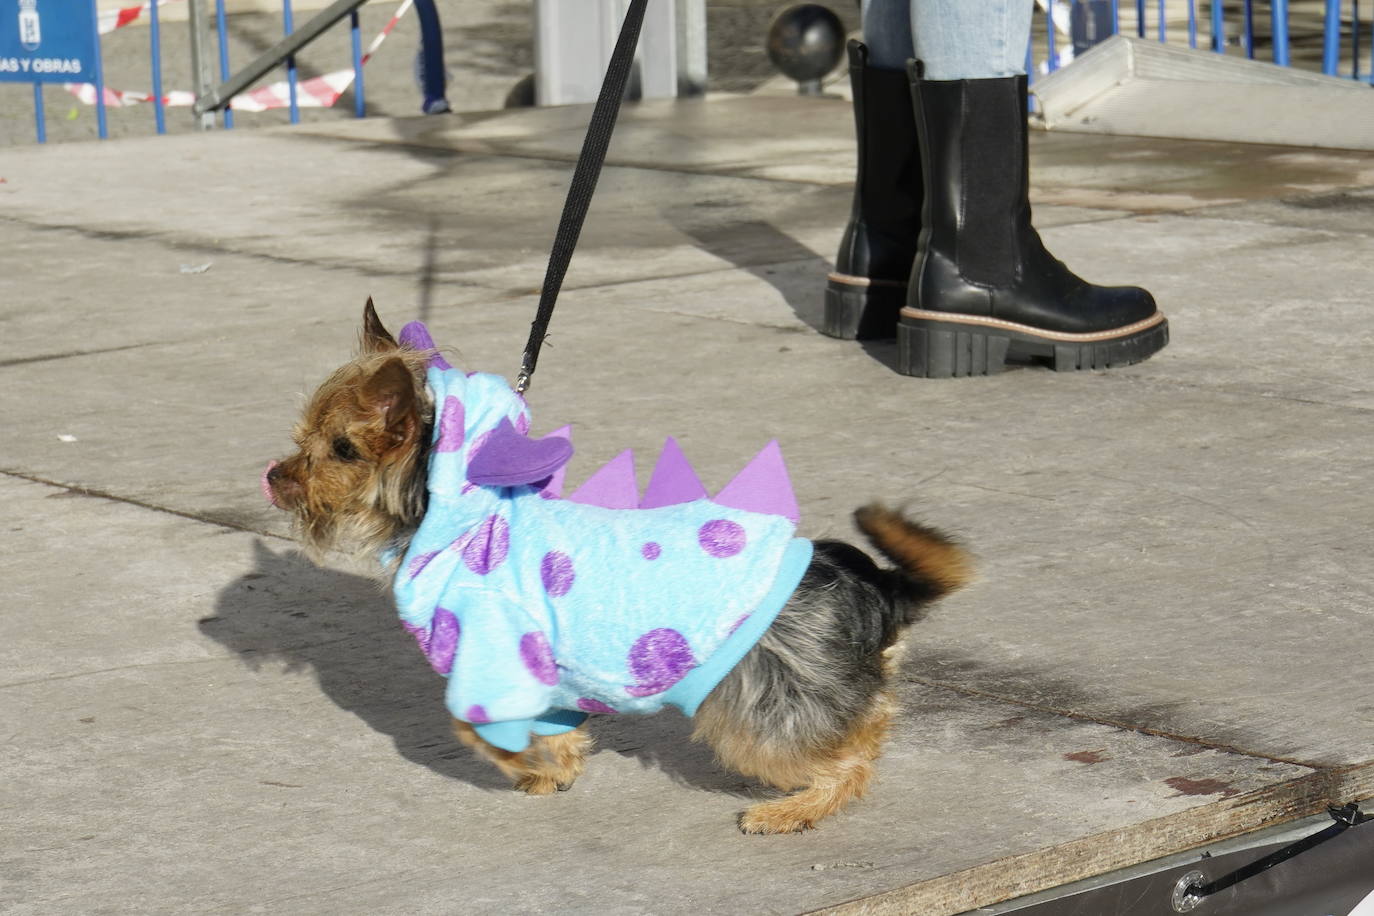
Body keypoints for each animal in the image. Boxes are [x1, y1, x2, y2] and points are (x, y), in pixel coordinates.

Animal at [265, 304, 967, 834]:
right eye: (302, 439)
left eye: (340, 449)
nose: (275, 476)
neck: (454, 518)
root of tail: (874, 586)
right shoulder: (546, 675)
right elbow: (552, 725)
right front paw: (557, 766)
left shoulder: (493, 658)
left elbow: (473, 728)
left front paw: (526, 766)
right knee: (867, 727)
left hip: (761, 711)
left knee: (850, 758)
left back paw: (791, 811)